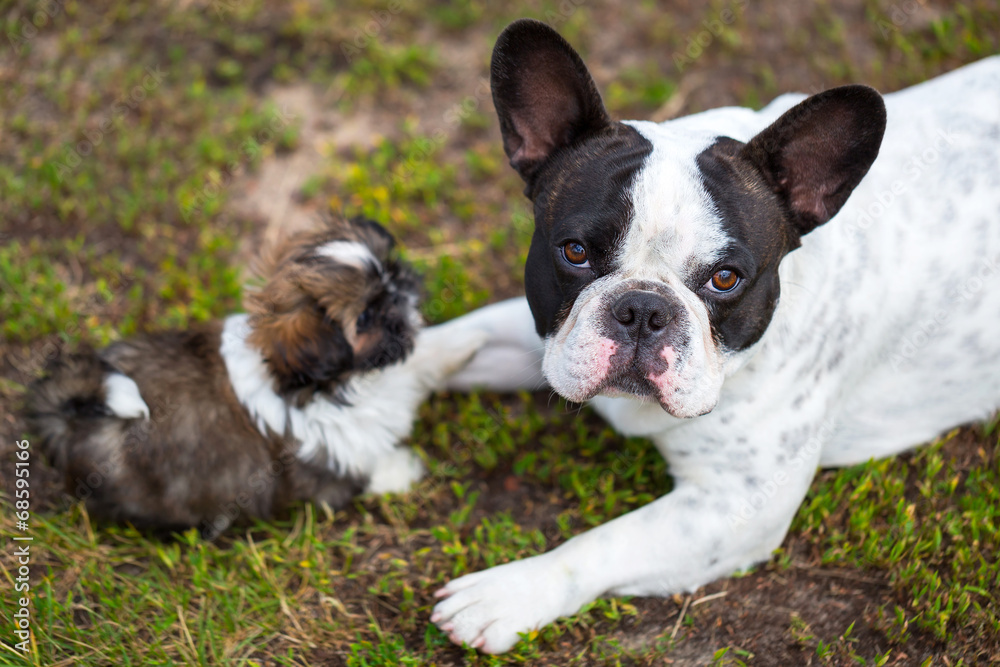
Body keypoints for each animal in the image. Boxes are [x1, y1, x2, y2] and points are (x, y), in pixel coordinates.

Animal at [25, 217, 486, 536]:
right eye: (366, 317)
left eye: (389, 269)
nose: (400, 290)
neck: (333, 385)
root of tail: (71, 417)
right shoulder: (333, 461)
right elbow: (366, 471)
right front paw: (404, 468)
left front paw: (463, 343)